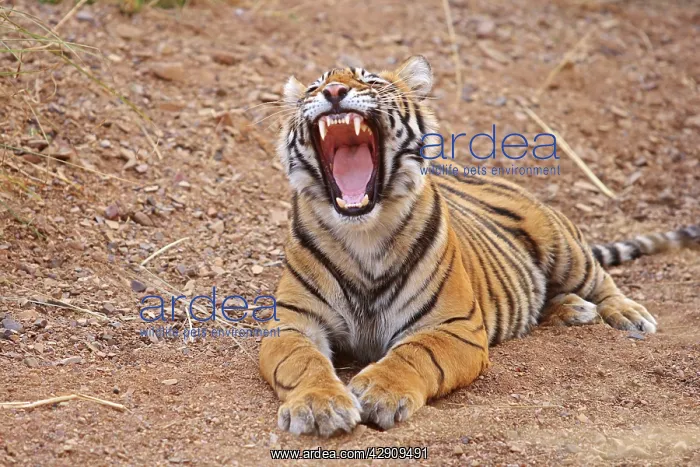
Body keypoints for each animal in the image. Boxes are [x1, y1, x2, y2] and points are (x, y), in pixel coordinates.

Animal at [259, 55, 700, 437]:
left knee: (602, 280)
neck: (362, 233)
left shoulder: (456, 326)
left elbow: (415, 353)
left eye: (370, 80)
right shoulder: (291, 322)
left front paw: (379, 391)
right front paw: (319, 406)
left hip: (562, 247)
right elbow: (303, 361)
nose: (334, 91)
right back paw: (573, 309)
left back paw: (627, 314)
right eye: (314, 87)